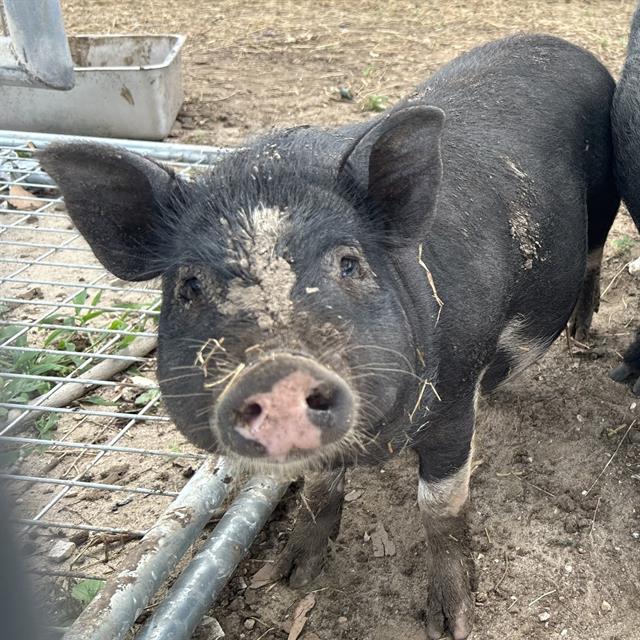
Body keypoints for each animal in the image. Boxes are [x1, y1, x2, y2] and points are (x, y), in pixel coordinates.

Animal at [40, 33, 619, 639]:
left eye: (348, 263)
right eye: (190, 285)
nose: (278, 374)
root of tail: (565, 46)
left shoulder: (457, 395)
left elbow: (439, 506)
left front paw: (450, 623)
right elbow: (318, 487)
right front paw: (288, 577)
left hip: (604, 199)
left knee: (595, 254)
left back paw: (581, 336)